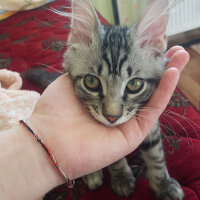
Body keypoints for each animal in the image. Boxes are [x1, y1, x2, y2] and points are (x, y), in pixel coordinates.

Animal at [24, 0, 184, 198]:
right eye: (91, 82)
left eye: (134, 84)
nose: (112, 117)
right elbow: (114, 160)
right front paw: (121, 177)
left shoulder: (152, 126)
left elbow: (156, 157)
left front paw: (163, 185)